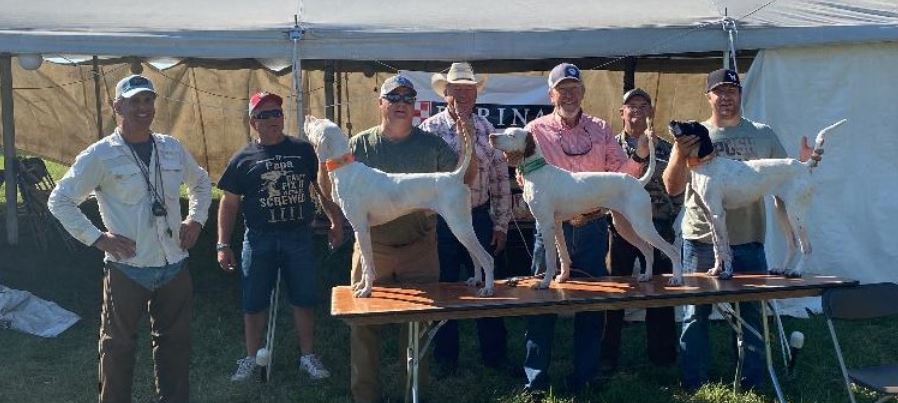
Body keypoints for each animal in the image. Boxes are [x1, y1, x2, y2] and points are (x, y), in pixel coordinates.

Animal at [304, 115, 494, 298]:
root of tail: (455, 176)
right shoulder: (362, 230)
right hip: (462, 228)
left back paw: (488, 288)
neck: (345, 168)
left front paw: (366, 291)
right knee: (475, 256)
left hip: (459, 226)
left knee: (487, 258)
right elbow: (365, 264)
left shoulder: (361, 228)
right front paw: (362, 286)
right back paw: (476, 280)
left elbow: (368, 265)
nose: (307, 116)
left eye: (317, 123)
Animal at [486, 128, 684, 288]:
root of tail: (638, 182)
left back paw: (677, 278)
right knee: (648, 249)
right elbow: (563, 255)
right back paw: (647, 276)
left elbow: (550, 258)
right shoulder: (557, 225)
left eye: (511, 135)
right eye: (505, 131)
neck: (538, 172)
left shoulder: (546, 224)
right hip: (624, 226)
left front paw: (544, 282)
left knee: (673, 251)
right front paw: (563, 277)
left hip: (642, 225)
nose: (491, 136)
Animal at [672, 118, 848, 280]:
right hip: (782, 211)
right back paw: (781, 269)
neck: (706, 165)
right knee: (792, 244)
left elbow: (724, 248)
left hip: (795, 213)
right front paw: (715, 270)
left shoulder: (718, 214)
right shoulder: (710, 216)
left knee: (807, 246)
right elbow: (717, 247)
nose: (672, 122)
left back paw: (797, 271)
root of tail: (804, 166)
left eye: (691, 124)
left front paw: (727, 273)